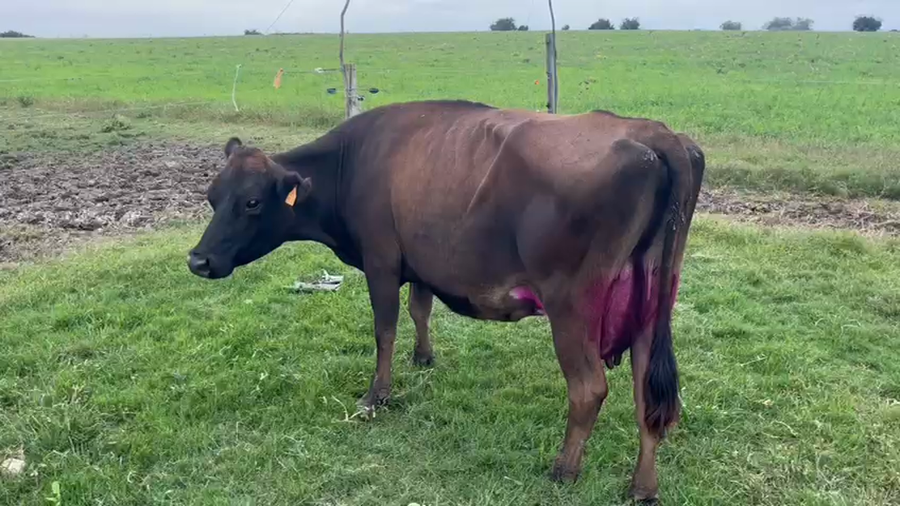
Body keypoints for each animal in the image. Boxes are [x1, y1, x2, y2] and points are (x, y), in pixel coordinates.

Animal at [187, 100, 704, 503]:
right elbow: (420, 309)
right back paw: (643, 486)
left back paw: (564, 469)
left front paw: (376, 395)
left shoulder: (380, 259)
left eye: (252, 202)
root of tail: (655, 133)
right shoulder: (422, 261)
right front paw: (424, 357)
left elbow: (385, 329)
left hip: (572, 303)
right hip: (649, 300)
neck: (352, 163)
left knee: (589, 389)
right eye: (212, 197)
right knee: (649, 394)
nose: (198, 260)